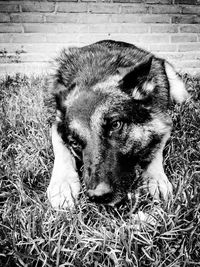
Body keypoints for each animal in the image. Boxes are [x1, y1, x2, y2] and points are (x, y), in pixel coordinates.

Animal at [47, 40, 189, 210]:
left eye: (115, 125)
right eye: (74, 142)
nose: (98, 196)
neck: (94, 76)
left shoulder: (164, 124)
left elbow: (155, 151)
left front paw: (155, 178)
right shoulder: (56, 126)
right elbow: (61, 149)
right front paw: (62, 184)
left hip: (179, 91)